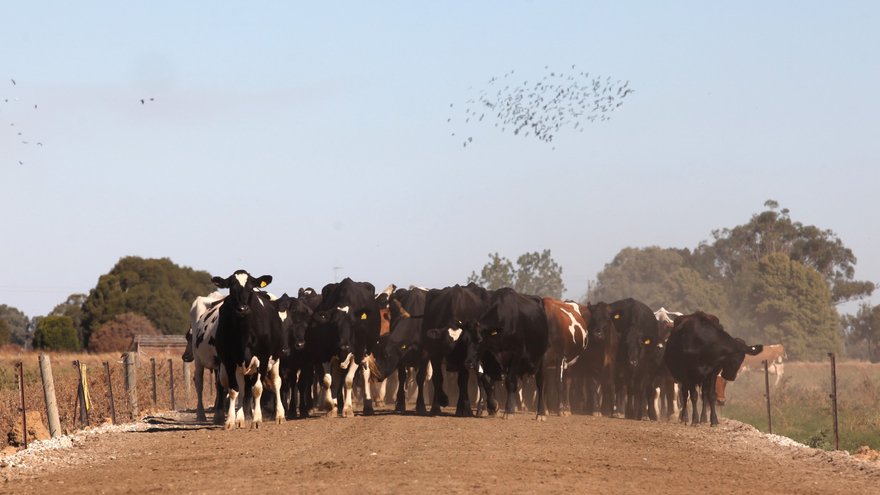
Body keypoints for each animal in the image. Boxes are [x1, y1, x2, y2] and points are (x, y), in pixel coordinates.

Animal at [211, 270, 289, 429]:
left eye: (251, 288)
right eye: (232, 288)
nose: (243, 309)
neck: (244, 335)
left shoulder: (263, 360)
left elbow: (257, 389)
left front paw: (257, 420)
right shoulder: (229, 362)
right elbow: (234, 390)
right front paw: (231, 421)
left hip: (276, 358)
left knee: (276, 382)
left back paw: (279, 415)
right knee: (242, 388)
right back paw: (240, 419)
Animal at [421, 284, 490, 416]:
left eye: (464, 343)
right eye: (444, 343)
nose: (453, 366)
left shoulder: (465, 361)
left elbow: (463, 379)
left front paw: (465, 409)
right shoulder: (434, 354)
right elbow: (437, 378)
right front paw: (439, 403)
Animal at [457, 288, 549, 420]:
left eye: (479, 340)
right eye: (465, 340)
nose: (468, 363)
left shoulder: (516, 355)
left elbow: (510, 382)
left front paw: (509, 410)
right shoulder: (487, 359)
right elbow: (486, 380)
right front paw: (493, 406)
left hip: (541, 359)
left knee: (540, 383)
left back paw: (541, 413)